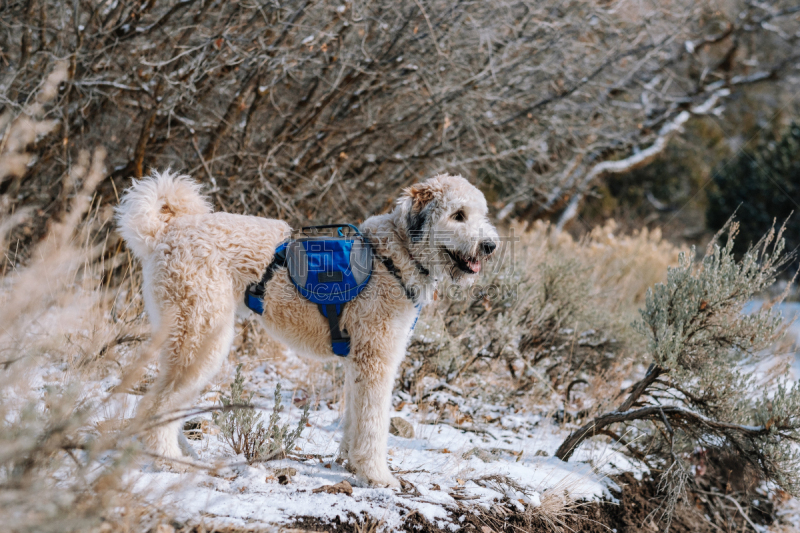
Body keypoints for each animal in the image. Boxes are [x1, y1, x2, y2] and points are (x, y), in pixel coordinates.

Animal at [115, 171, 496, 486]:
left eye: (481, 214)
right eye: (458, 215)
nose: (490, 245)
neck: (395, 257)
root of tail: (165, 233)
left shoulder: (358, 362)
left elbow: (354, 418)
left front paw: (351, 464)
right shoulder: (377, 359)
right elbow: (373, 424)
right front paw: (378, 476)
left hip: (187, 337)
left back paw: (185, 455)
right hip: (200, 338)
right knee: (155, 404)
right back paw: (169, 461)